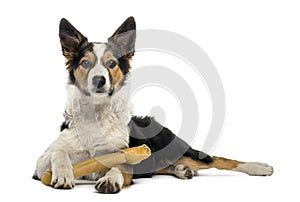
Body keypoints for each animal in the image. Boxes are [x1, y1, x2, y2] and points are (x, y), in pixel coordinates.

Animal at [34, 17, 274, 194]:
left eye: (112, 63)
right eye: (85, 63)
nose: (99, 80)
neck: (98, 113)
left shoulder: (124, 156)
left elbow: (118, 166)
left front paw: (111, 180)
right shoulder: (40, 166)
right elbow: (58, 153)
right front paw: (63, 173)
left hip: (180, 148)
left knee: (219, 159)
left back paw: (259, 167)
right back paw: (182, 170)